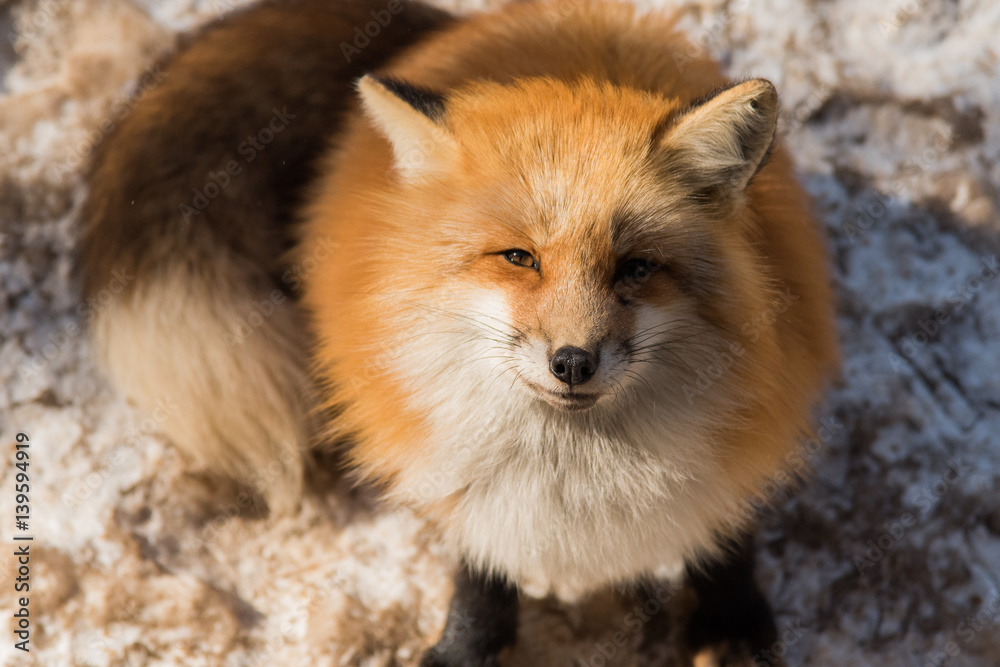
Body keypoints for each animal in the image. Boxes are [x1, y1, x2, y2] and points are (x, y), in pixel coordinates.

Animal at [79, 0, 839, 664]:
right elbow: (480, 569)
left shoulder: (748, 431)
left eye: (636, 267)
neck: (579, 475)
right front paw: (463, 650)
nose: (572, 362)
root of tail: (465, 25)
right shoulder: (460, 466)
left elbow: (727, 532)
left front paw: (734, 625)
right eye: (520, 258)